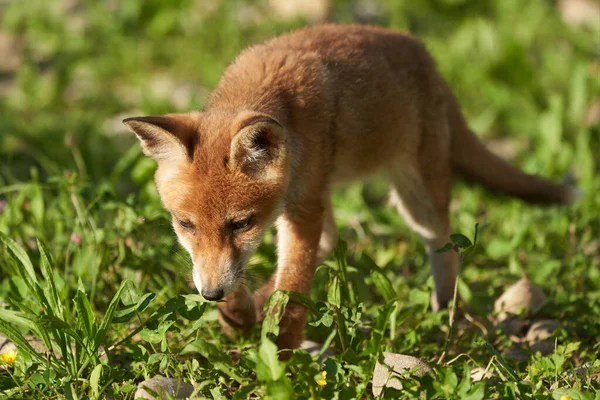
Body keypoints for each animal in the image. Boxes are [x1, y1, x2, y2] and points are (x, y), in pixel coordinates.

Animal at [124, 23, 580, 358]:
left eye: (241, 224)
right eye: (185, 225)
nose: (211, 293)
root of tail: (425, 54)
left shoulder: (302, 209)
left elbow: (294, 288)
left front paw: (281, 358)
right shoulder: (302, 206)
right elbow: (286, 277)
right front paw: (242, 314)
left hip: (415, 198)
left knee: (443, 244)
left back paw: (448, 315)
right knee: (329, 243)